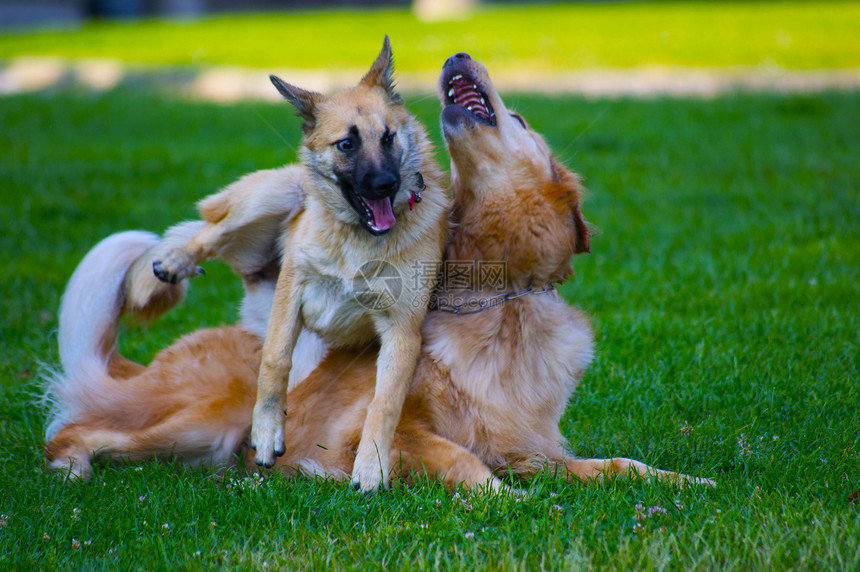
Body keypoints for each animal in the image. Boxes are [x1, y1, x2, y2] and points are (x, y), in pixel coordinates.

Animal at [43, 54, 712, 492]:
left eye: (518, 119)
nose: (458, 52)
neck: (499, 296)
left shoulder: (528, 445)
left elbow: (620, 466)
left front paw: (685, 482)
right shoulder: (389, 433)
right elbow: (453, 459)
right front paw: (504, 500)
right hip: (197, 412)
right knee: (76, 428)